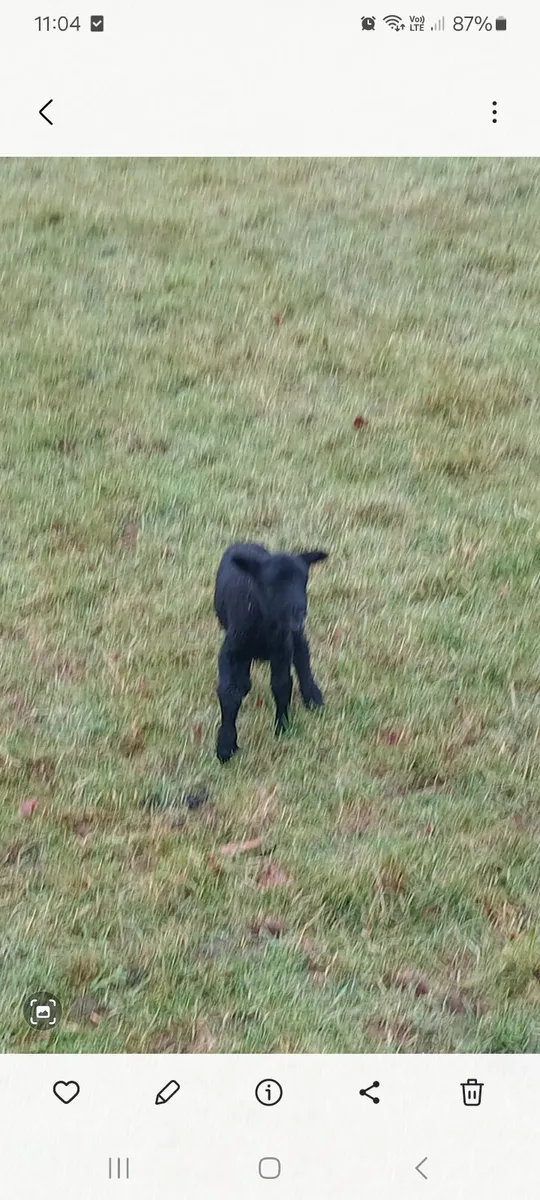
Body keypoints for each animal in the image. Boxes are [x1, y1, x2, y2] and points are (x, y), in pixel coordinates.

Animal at [213, 542, 328, 762]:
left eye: (304, 581)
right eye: (271, 584)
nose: (300, 611)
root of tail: (245, 542)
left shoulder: (282, 649)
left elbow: (282, 685)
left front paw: (282, 727)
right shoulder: (230, 650)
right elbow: (229, 693)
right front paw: (225, 745)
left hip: (293, 635)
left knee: (302, 652)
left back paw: (312, 696)